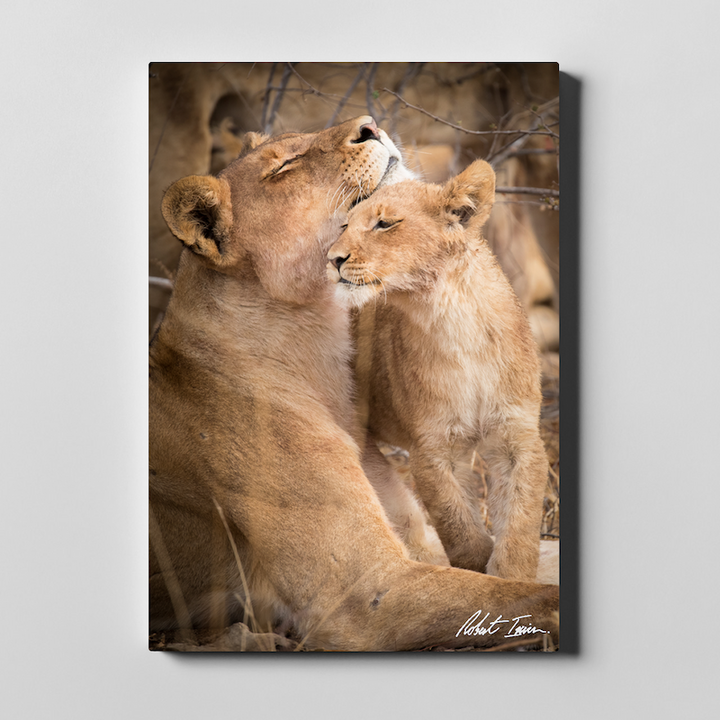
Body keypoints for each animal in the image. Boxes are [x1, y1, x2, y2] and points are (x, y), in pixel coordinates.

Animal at [327, 159, 549, 582]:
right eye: (345, 226)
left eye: (384, 224)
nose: (332, 258)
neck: (451, 318)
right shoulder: (432, 447)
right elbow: (459, 527)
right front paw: (478, 573)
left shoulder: (517, 435)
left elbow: (520, 522)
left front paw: (511, 578)